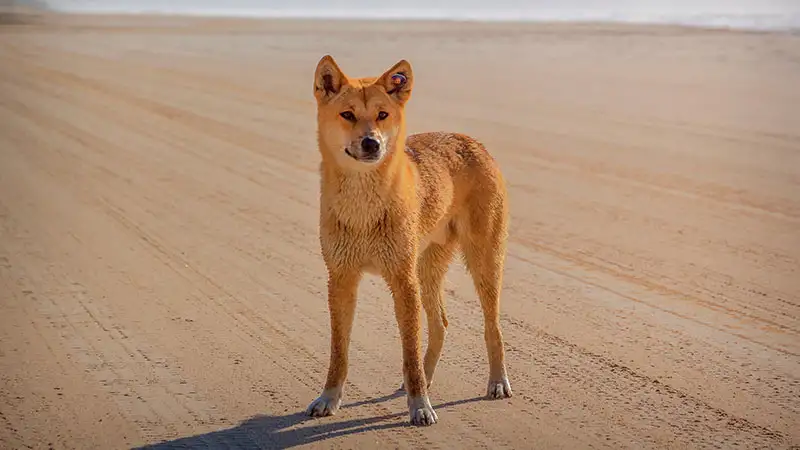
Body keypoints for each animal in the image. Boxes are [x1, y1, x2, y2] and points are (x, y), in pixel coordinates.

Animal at [306, 55, 512, 426]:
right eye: (348, 115)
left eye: (382, 115)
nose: (372, 143)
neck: (364, 206)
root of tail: (472, 140)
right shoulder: (341, 279)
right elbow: (339, 352)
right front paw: (328, 398)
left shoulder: (402, 280)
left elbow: (409, 351)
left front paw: (420, 406)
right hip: (426, 270)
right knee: (441, 324)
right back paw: (425, 380)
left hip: (482, 264)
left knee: (493, 327)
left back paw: (497, 382)